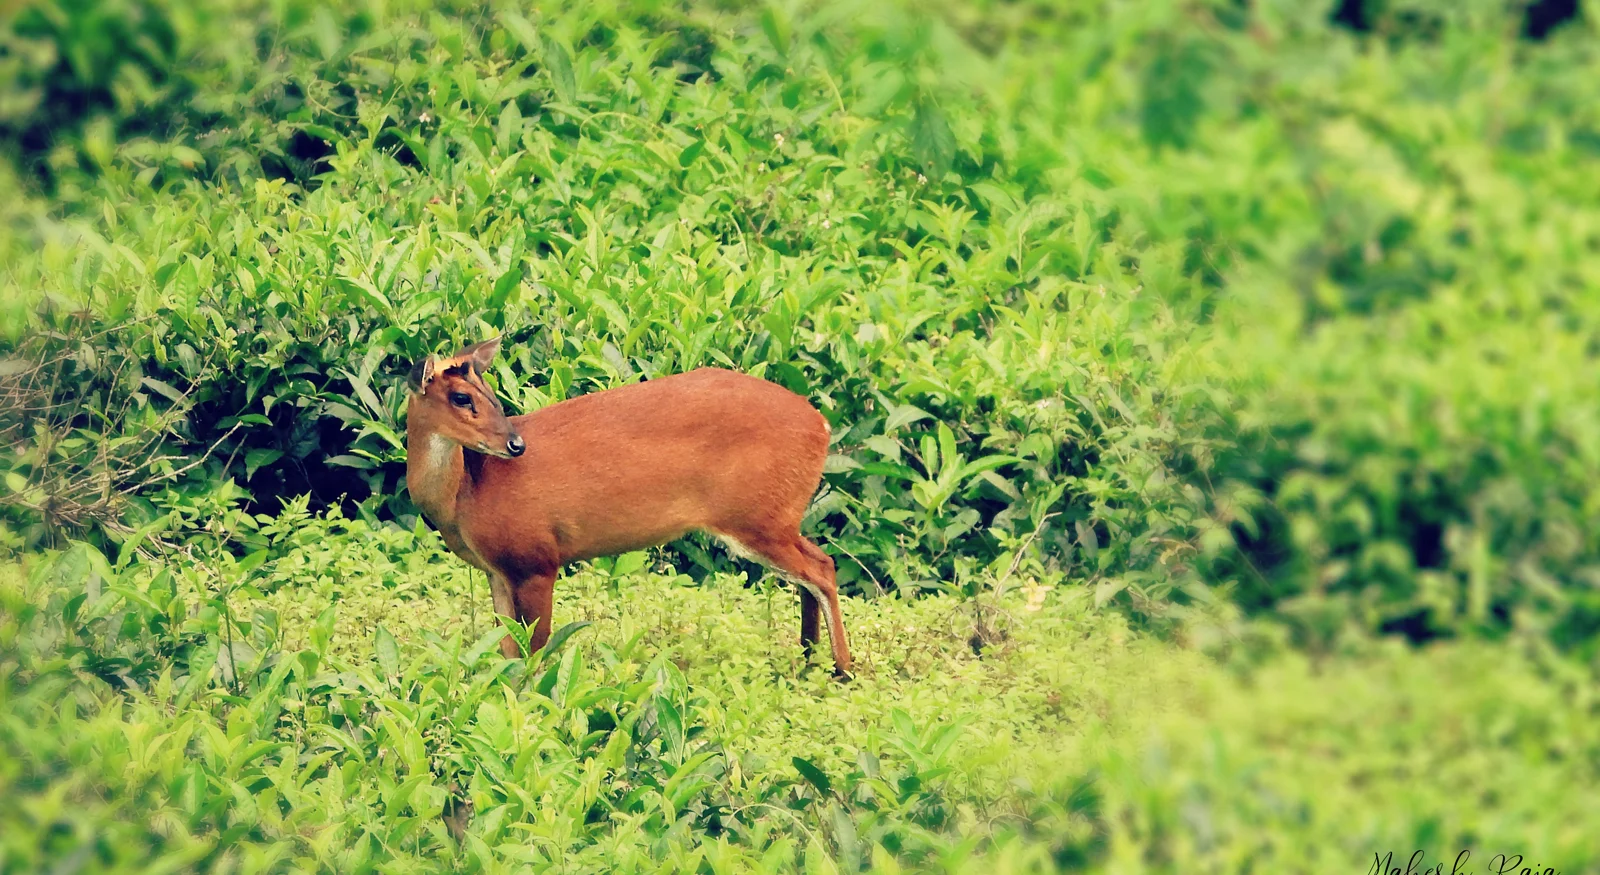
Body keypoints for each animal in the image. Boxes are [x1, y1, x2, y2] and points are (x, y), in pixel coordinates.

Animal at [403, 336, 852, 677]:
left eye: (491, 396)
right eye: (462, 397)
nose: (515, 444)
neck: (469, 493)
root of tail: (822, 426)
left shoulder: (537, 559)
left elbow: (535, 650)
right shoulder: (496, 570)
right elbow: (508, 651)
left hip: (756, 517)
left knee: (822, 569)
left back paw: (841, 670)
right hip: (776, 518)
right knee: (813, 569)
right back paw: (809, 659)